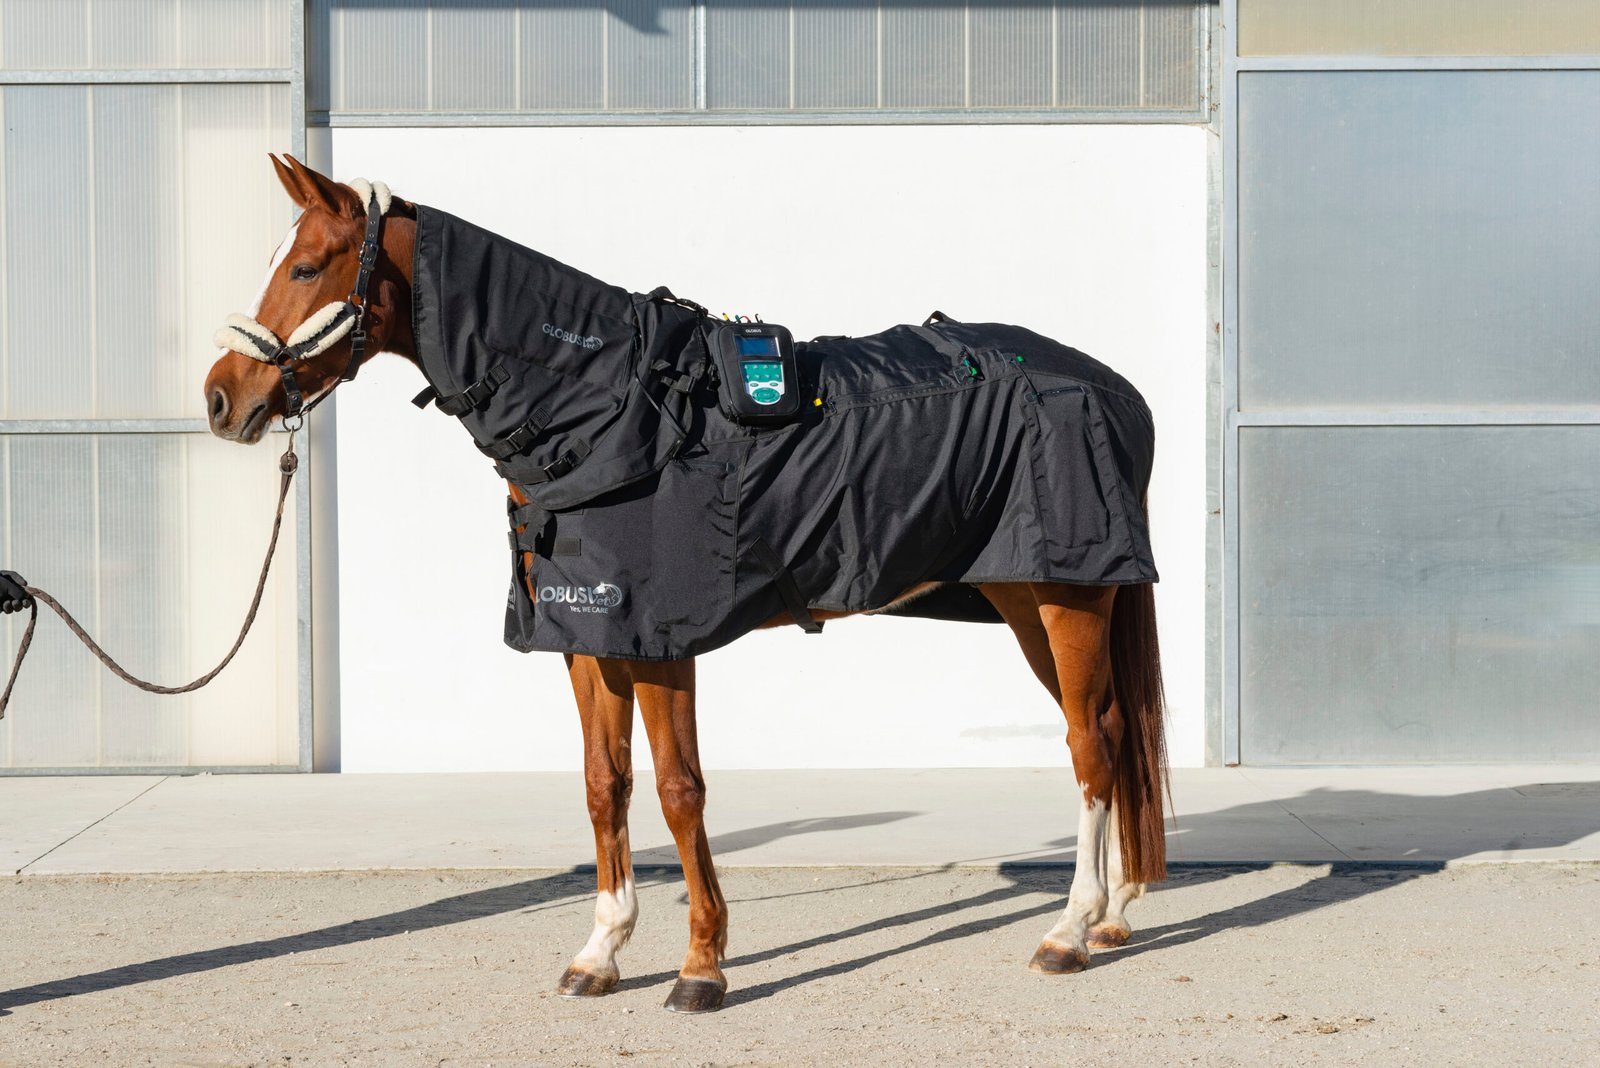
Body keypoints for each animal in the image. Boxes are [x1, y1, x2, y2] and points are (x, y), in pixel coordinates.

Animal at [203, 155, 1168, 1014]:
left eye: (305, 266)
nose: (220, 398)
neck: (611, 411)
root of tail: (1114, 388)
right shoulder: (589, 638)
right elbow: (605, 784)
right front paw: (599, 953)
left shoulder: (659, 641)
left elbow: (678, 789)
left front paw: (702, 967)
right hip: (1027, 598)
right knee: (1115, 734)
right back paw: (1115, 914)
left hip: (1067, 596)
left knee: (1091, 744)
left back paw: (1069, 932)